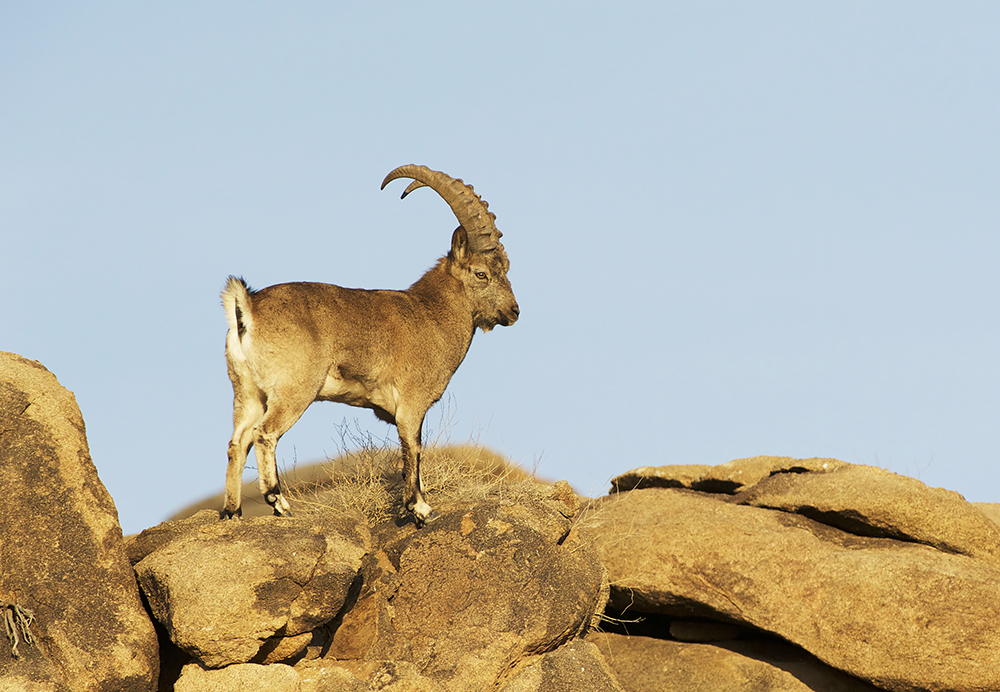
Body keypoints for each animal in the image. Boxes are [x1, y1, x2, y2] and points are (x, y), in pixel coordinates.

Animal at [222, 165, 520, 528]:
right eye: (481, 274)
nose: (514, 311)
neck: (432, 313)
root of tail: (247, 308)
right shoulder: (411, 404)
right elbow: (413, 448)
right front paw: (420, 508)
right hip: (294, 389)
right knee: (264, 434)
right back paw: (280, 503)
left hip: (247, 391)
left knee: (237, 442)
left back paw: (232, 512)